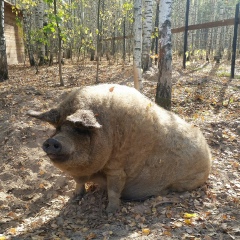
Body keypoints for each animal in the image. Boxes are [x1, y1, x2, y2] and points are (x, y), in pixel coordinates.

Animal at [27, 83, 210, 213]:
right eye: (58, 128)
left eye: (80, 129)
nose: (52, 141)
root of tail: (209, 155)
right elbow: (78, 184)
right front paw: (74, 199)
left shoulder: (118, 168)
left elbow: (114, 190)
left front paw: (110, 212)